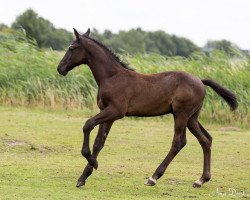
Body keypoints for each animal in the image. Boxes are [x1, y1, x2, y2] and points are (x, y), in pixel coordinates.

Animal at [55, 28, 237, 188]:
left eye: (72, 48)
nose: (60, 68)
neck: (112, 77)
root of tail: (200, 81)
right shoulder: (107, 113)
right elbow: (99, 143)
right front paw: (83, 177)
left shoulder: (116, 111)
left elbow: (87, 125)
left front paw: (92, 162)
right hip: (192, 117)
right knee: (206, 140)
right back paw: (201, 180)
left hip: (181, 114)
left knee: (179, 142)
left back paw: (153, 177)